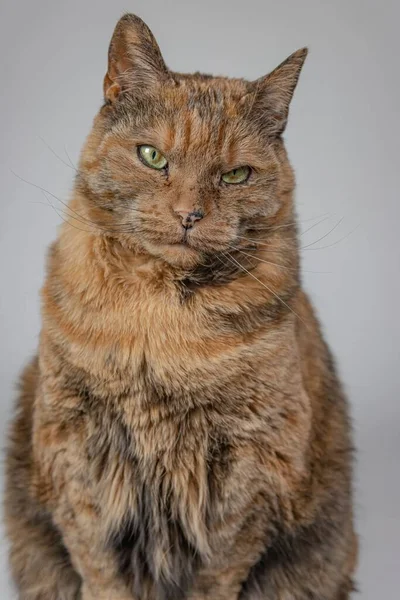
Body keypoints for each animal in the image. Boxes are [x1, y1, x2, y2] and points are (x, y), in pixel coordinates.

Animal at [4, 12, 358, 600]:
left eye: (235, 175)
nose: (189, 214)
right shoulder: (75, 453)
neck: (160, 323)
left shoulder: (251, 471)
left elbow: (218, 570)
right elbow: (98, 567)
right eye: (152, 156)